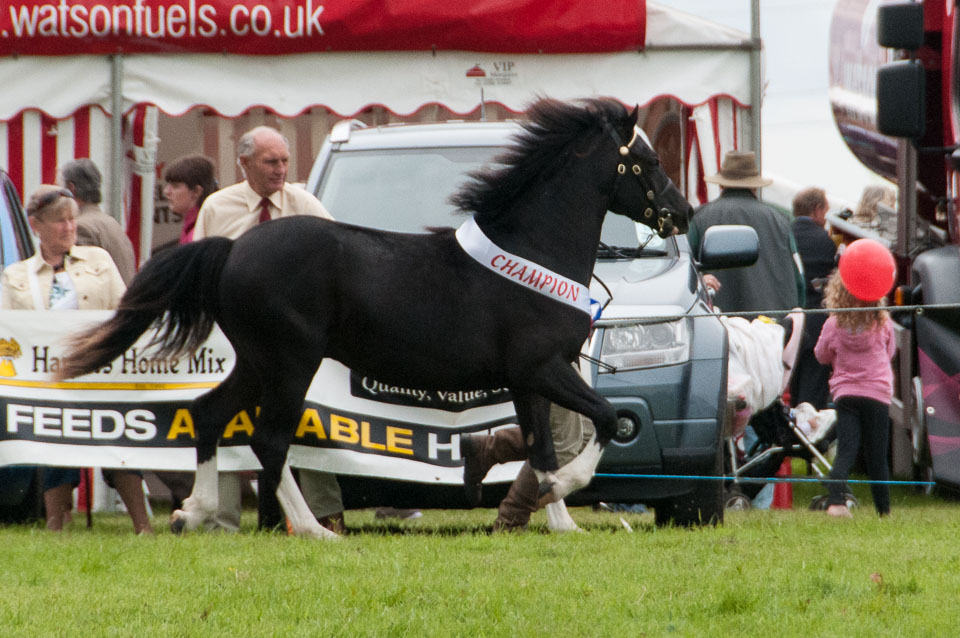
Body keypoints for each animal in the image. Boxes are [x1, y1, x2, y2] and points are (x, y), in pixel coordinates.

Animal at [56, 97, 688, 540]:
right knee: (270, 438)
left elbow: (541, 449)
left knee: (210, 414)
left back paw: (192, 513)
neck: (533, 249)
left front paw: (563, 522)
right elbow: (605, 419)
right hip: (291, 361)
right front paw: (567, 491)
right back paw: (314, 531)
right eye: (648, 161)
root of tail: (232, 248)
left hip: (258, 362)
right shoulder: (544, 368)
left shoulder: (528, 379)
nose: (681, 212)